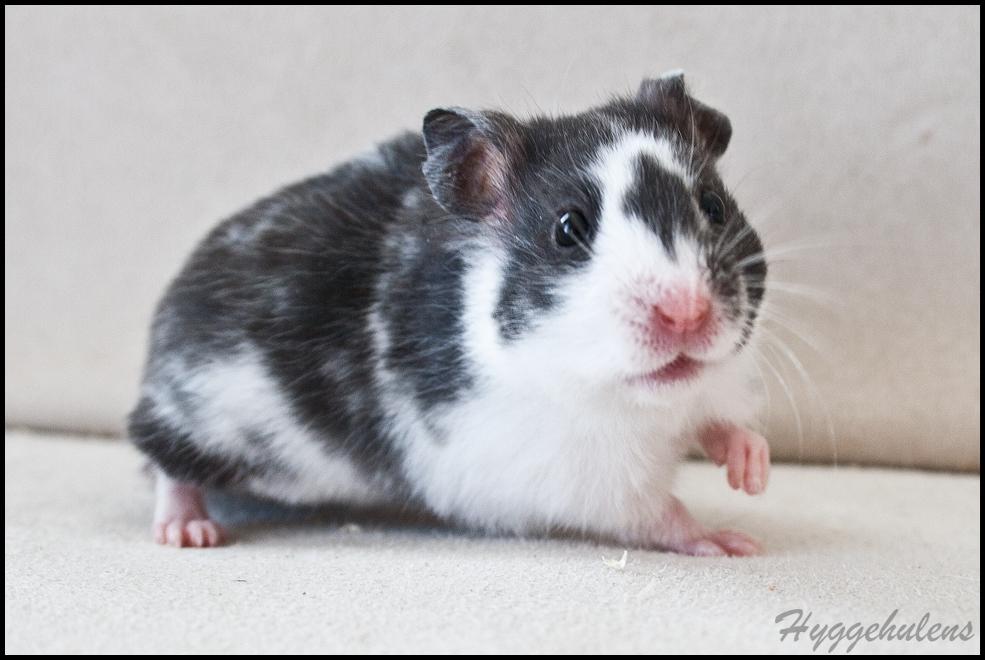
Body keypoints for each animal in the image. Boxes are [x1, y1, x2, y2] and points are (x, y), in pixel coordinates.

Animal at [129, 71, 771, 555]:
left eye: (713, 206)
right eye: (568, 229)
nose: (686, 314)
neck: (636, 403)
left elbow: (721, 422)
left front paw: (752, 472)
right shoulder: (578, 479)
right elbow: (656, 513)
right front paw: (730, 542)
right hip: (204, 417)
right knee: (166, 464)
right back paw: (188, 532)